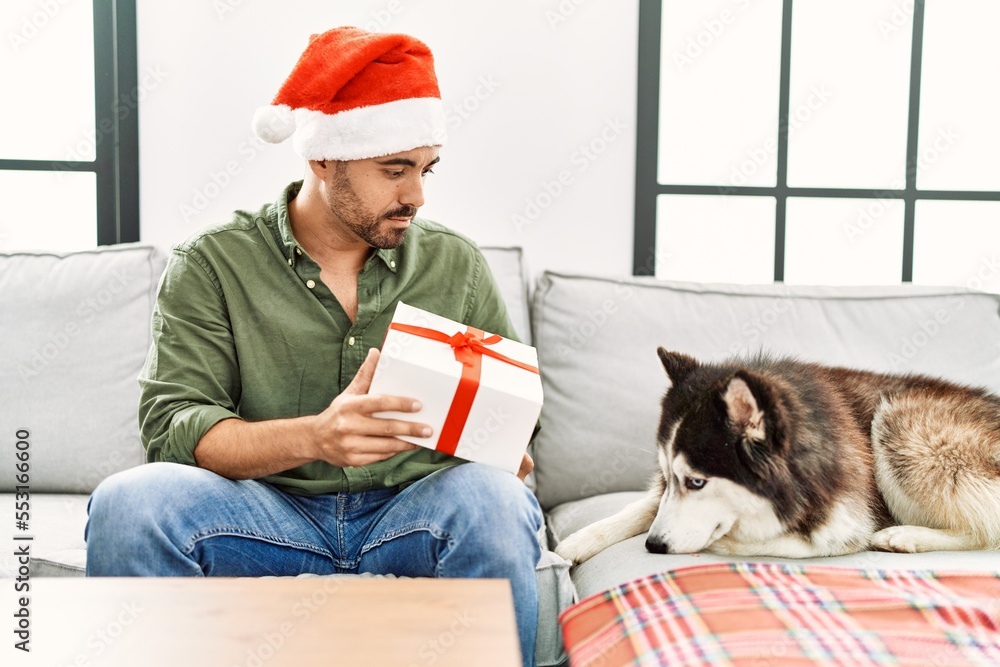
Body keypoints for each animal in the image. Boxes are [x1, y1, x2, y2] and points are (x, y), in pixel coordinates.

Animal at [556, 348, 1000, 568]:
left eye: (697, 481)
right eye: (669, 477)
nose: (653, 546)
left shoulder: (845, 523)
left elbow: (778, 541)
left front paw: (724, 541)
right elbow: (638, 509)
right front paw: (576, 543)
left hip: (898, 423)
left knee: (986, 531)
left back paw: (905, 535)